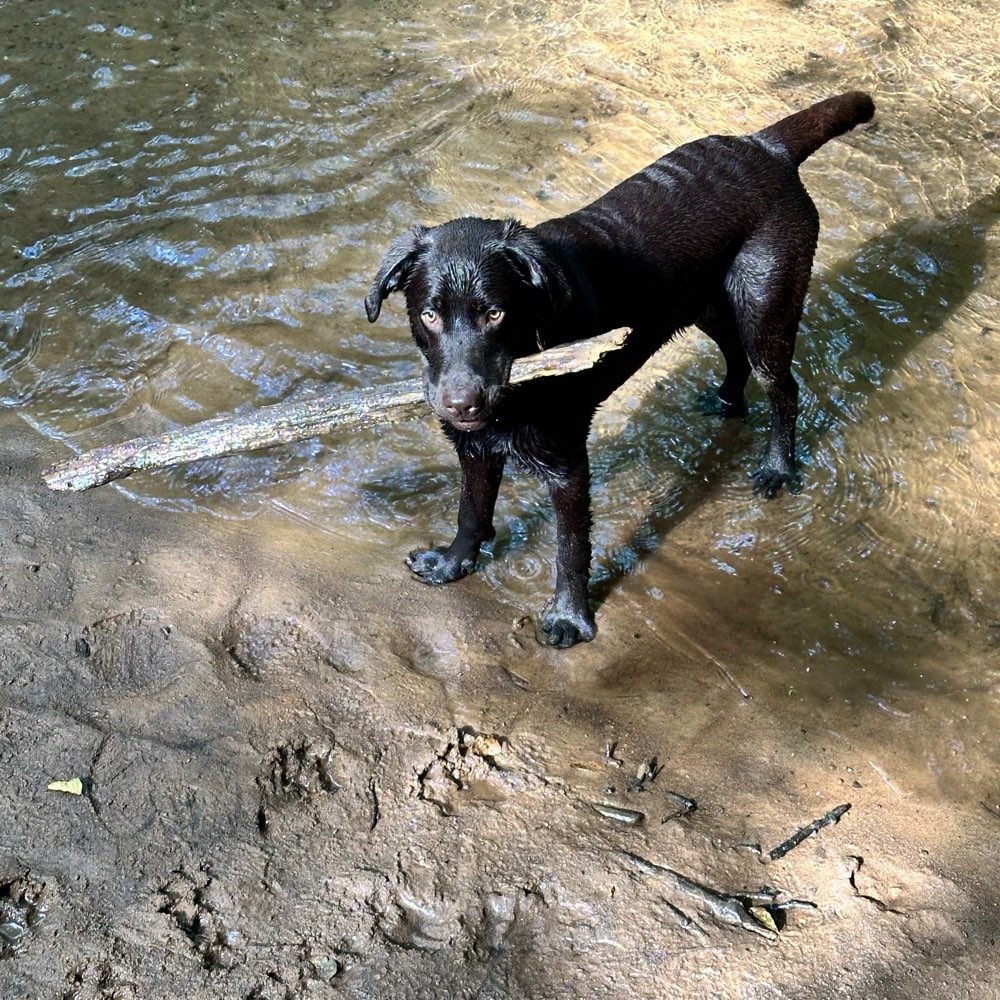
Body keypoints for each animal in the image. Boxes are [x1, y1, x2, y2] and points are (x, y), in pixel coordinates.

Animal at [368, 90, 876, 644]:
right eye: (429, 314)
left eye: (496, 313)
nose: (462, 402)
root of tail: (766, 146)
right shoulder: (476, 446)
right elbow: (471, 511)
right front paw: (453, 564)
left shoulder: (567, 464)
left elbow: (570, 549)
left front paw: (569, 618)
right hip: (708, 306)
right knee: (734, 355)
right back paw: (725, 401)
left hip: (765, 307)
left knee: (785, 389)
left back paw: (777, 469)